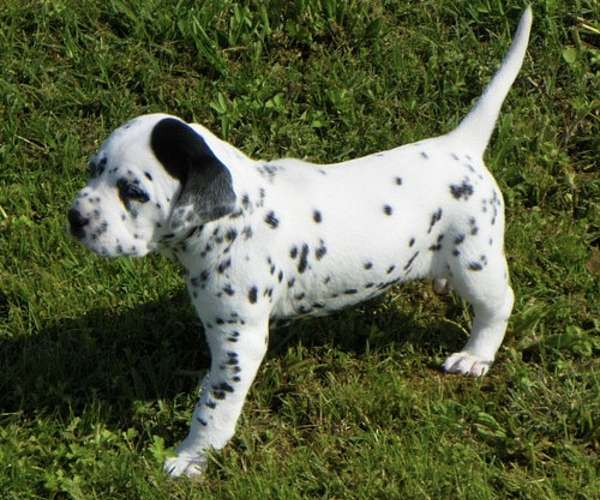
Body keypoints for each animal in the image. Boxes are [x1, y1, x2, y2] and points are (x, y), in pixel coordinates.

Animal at [68, 7, 532, 476]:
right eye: (93, 169)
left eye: (133, 192)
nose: (75, 218)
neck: (236, 215)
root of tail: (460, 147)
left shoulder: (240, 339)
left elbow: (214, 406)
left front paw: (192, 457)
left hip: (476, 260)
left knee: (499, 304)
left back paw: (475, 355)